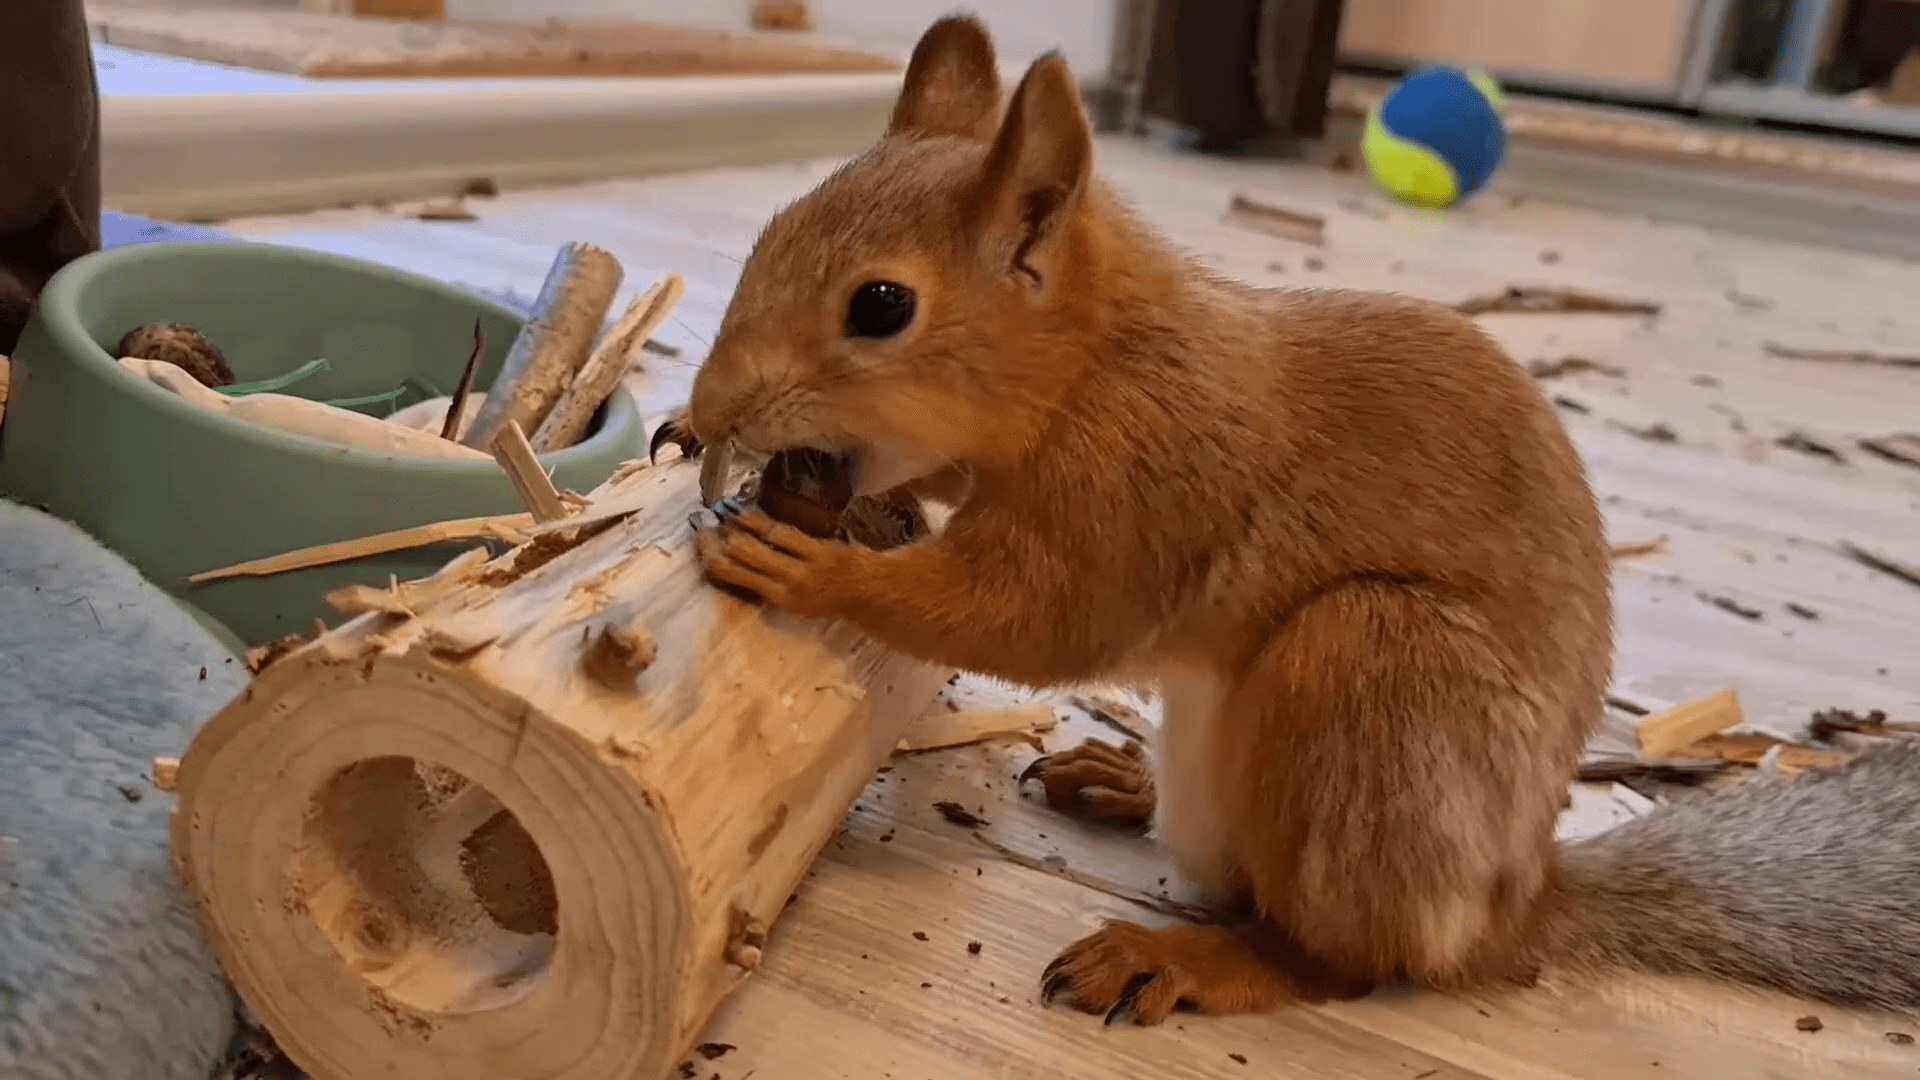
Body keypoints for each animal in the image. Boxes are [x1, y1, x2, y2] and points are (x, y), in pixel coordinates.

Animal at [675, 14, 1920, 1022]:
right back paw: (1125, 783)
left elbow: (1032, 620)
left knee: (1348, 961)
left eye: (882, 305)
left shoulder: (1144, 485)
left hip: (1374, 679)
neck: (1096, 362)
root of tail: (1516, 903)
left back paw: (1191, 959)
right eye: (777, 223)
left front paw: (808, 564)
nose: (713, 405)